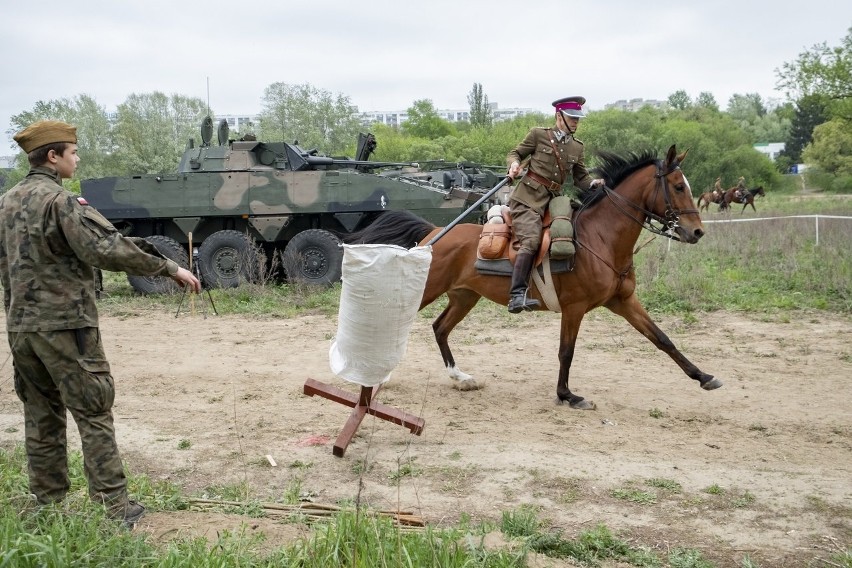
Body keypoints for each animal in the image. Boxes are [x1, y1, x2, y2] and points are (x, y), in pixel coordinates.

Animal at [344, 143, 720, 408]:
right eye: (678, 186)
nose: (697, 232)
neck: (600, 238)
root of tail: (434, 230)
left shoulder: (623, 300)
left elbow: (662, 339)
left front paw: (703, 376)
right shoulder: (575, 308)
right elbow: (566, 352)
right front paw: (567, 395)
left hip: (465, 296)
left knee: (440, 328)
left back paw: (461, 378)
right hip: (429, 290)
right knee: (398, 323)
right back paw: (376, 376)